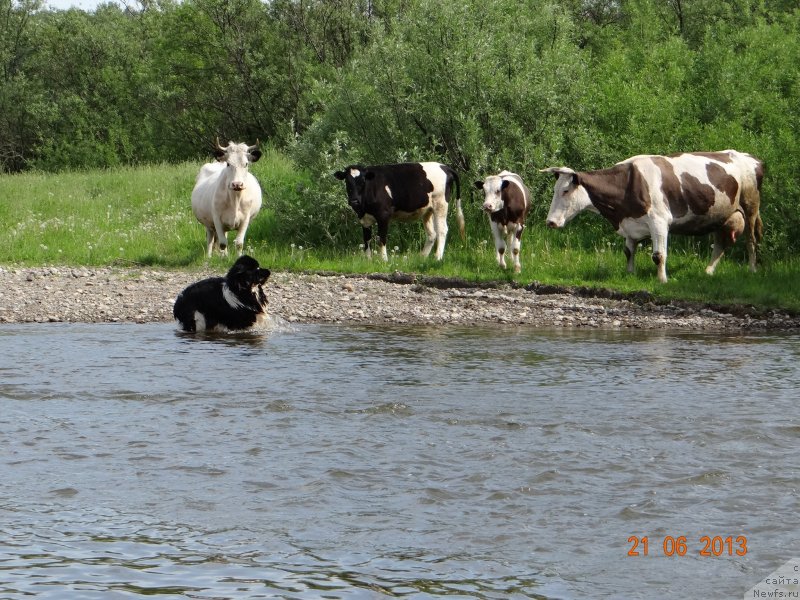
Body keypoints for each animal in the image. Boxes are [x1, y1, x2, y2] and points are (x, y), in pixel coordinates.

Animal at [334, 162, 466, 260]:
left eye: (362, 181)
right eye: (347, 181)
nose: (354, 201)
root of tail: (445, 167)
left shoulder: (383, 215)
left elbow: (382, 238)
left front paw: (384, 260)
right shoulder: (364, 219)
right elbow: (367, 240)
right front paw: (368, 261)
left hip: (441, 203)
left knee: (442, 230)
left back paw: (437, 258)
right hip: (428, 210)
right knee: (432, 234)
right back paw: (422, 257)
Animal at [544, 149, 764, 282]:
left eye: (565, 191)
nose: (550, 222)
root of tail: (751, 158)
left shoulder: (659, 221)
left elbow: (658, 255)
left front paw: (662, 280)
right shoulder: (630, 224)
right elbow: (628, 252)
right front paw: (630, 274)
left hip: (751, 206)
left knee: (751, 240)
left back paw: (753, 270)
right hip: (723, 216)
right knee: (720, 244)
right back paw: (708, 272)